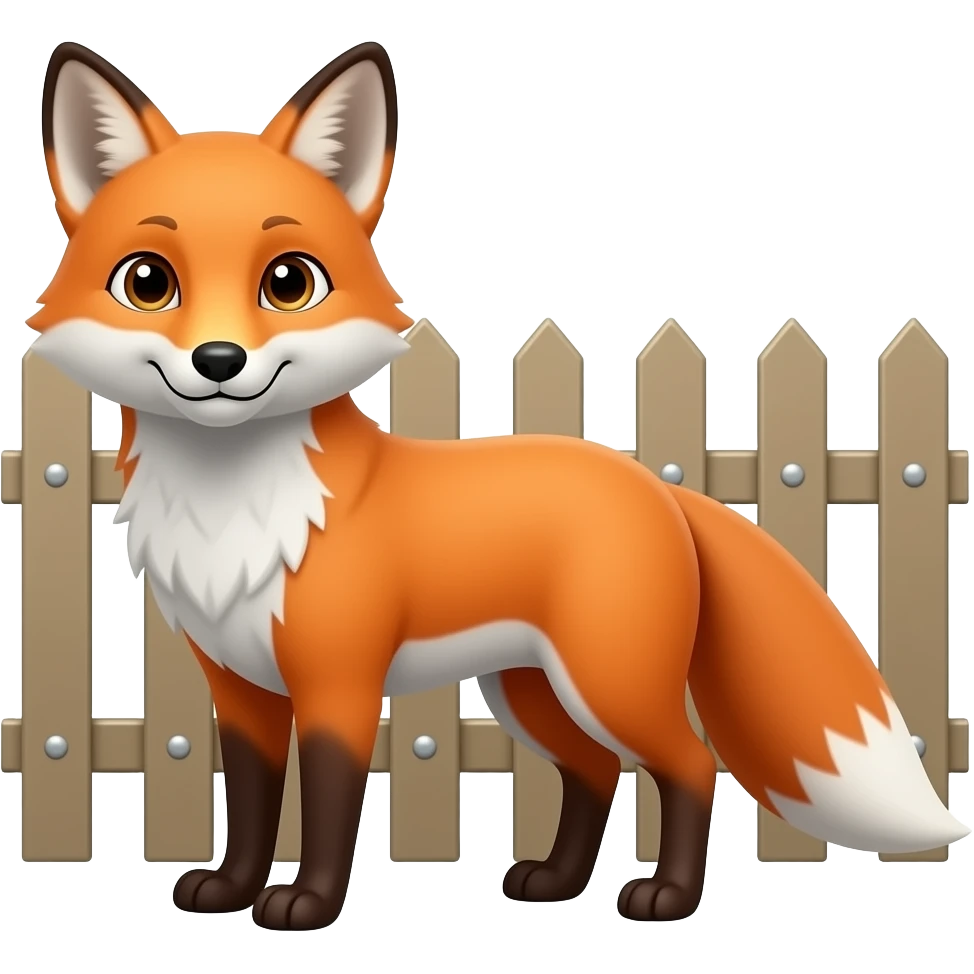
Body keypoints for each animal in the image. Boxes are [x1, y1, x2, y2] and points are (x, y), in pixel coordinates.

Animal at [27, 40, 969, 931]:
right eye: (148, 281)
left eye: (288, 281)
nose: (218, 361)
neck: (234, 512)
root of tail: (658, 484)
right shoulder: (241, 690)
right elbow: (255, 805)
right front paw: (230, 889)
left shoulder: (339, 684)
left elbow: (328, 806)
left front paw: (309, 906)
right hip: (531, 692)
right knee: (595, 771)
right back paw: (554, 882)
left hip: (607, 682)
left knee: (689, 762)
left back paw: (666, 897)